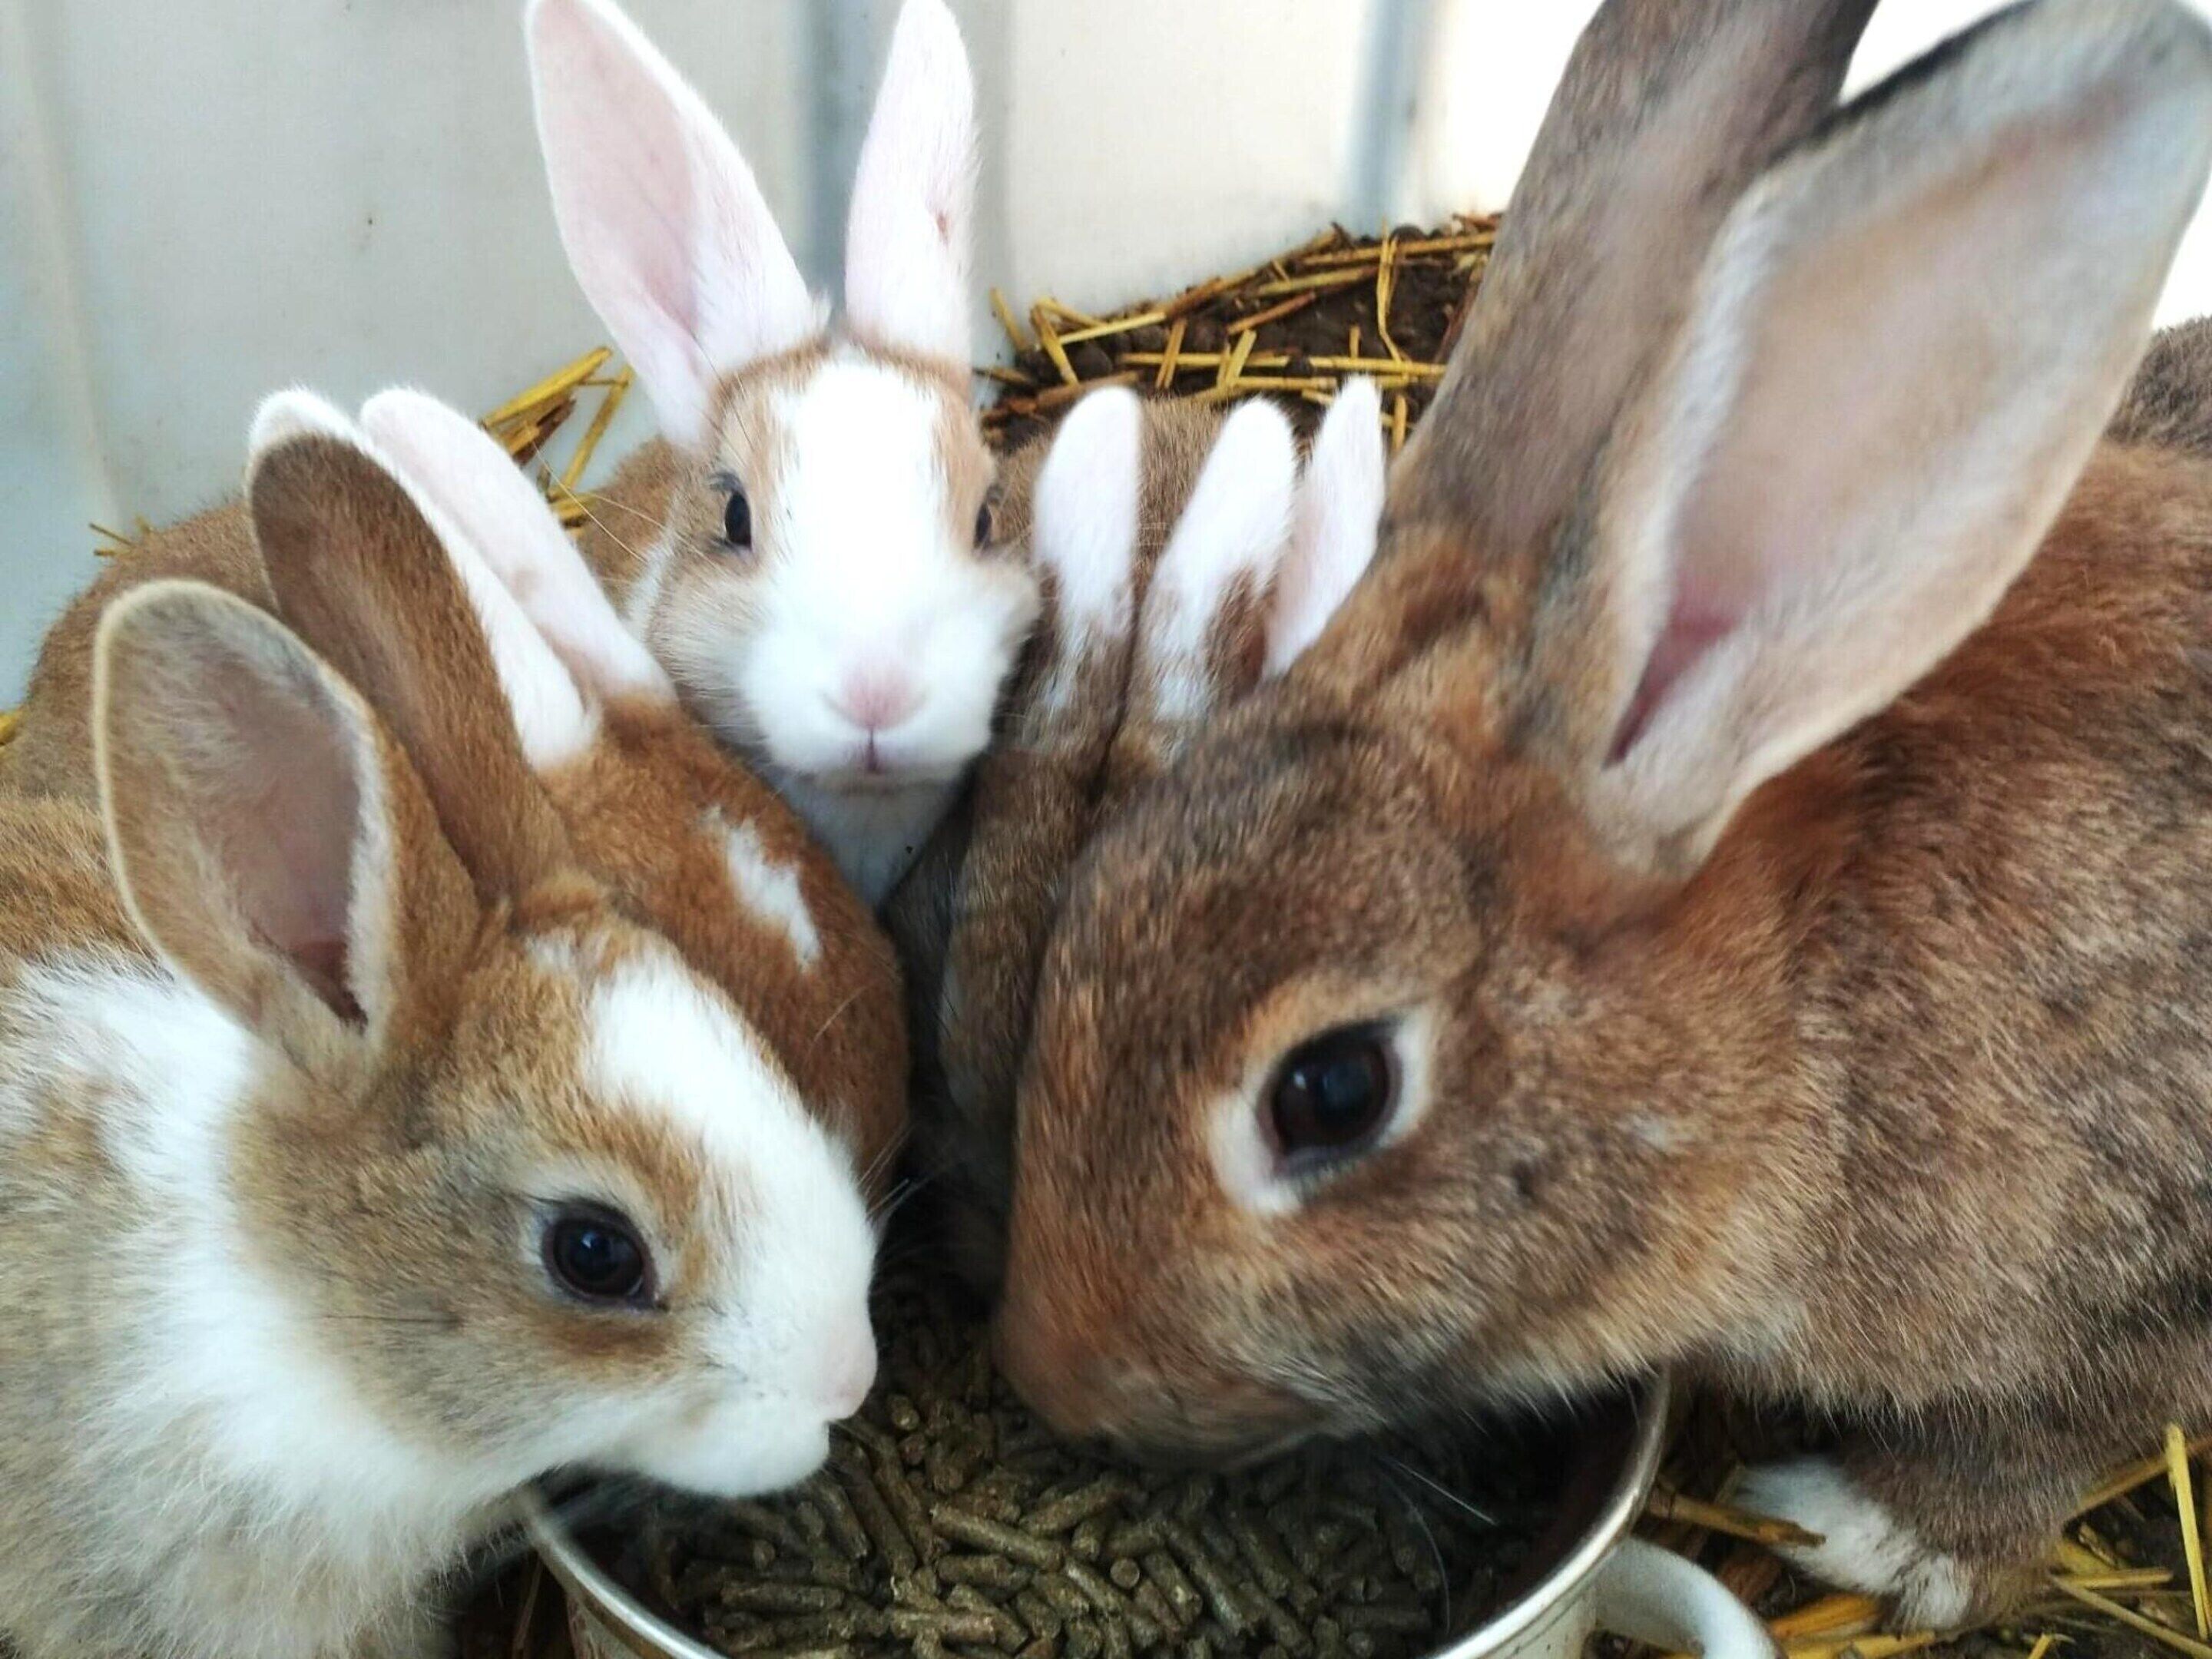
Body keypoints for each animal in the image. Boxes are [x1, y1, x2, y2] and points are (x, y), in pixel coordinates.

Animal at [952, 0, 2212, 1628]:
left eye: (1332, 1092)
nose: (1047, 1367)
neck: (1797, 1010)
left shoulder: (2140, 1282)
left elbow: (2055, 1435)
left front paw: (1870, 1534)